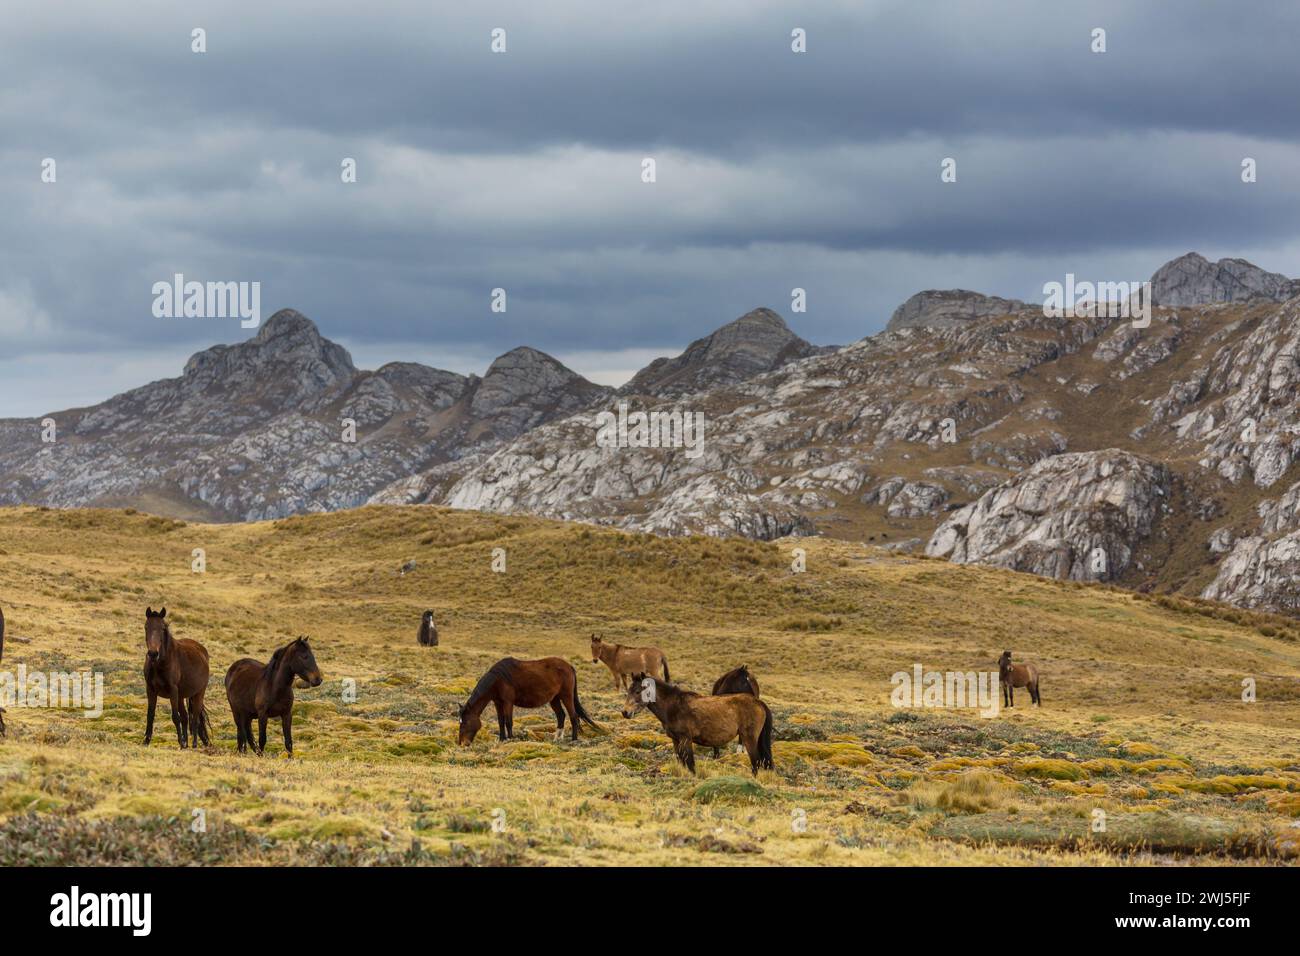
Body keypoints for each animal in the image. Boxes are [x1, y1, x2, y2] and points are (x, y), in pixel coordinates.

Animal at [143, 607, 211, 749]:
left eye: (163, 628)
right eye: (146, 627)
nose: (153, 654)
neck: (160, 663)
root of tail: (203, 651)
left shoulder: (173, 691)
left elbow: (175, 717)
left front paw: (180, 741)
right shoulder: (150, 690)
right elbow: (150, 715)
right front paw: (146, 741)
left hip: (198, 694)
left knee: (195, 718)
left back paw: (194, 743)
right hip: (181, 696)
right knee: (185, 717)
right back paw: (186, 744)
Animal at [458, 657, 599, 745]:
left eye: (465, 722)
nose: (462, 743)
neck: (497, 680)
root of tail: (569, 666)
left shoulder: (508, 702)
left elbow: (508, 721)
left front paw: (510, 738)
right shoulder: (498, 703)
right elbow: (500, 721)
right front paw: (502, 739)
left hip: (566, 696)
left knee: (573, 716)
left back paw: (573, 739)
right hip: (554, 699)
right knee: (561, 715)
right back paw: (557, 738)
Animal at [622, 674, 774, 776]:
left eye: (638, 691)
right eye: (628, 691)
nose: (625, 712)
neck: (674, 706)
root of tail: (758, 702)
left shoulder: (686, 739)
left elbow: (690, 763)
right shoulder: (676, 740)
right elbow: (681, 761)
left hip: (749, 738)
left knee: (756, 762)